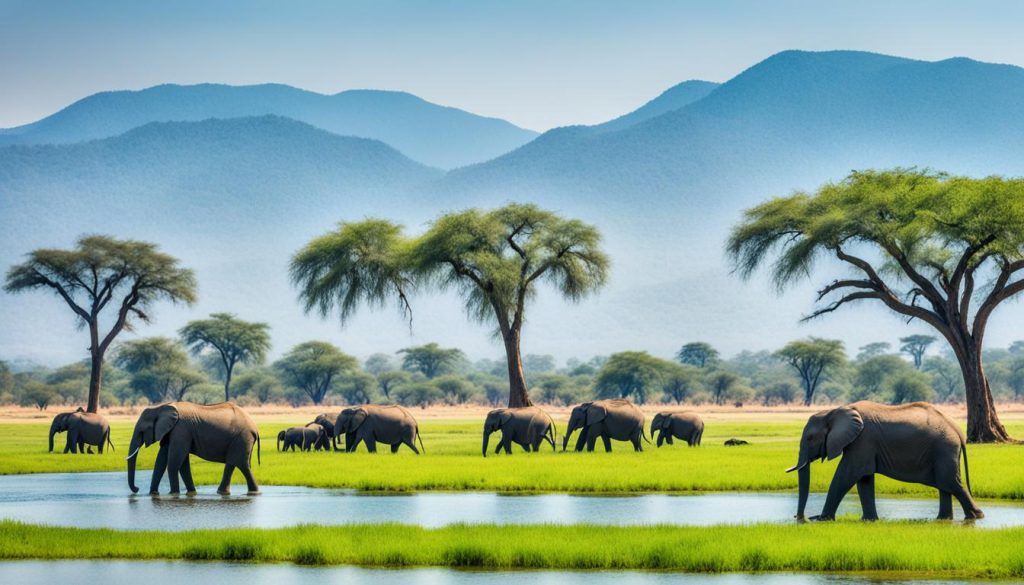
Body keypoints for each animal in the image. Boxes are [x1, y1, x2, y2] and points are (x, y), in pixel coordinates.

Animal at [126, 403, 262, 493]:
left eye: (142, 431)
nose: (137, 489)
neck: (160, 408)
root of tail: (255, 427)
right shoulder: (173, 432)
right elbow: (165, 461)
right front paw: (153, 494)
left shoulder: (181, 430)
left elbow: (174, 462)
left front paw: (173, 494)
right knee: (234, 464)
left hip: (242, 437)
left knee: (241, 464)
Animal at [782, 403, 983, 522]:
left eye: (810, 438)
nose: (799, 517)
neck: (836, 410)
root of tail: (957, 431)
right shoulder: (863, 445)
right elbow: (864, 480)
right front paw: (869, 520)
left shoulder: (862, 441)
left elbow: (846, 475)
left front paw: (822, 519)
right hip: (943, 451)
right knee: (945, 485)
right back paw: (944, 520)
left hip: (944, 449)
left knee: (951, 483)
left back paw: (976, 516)